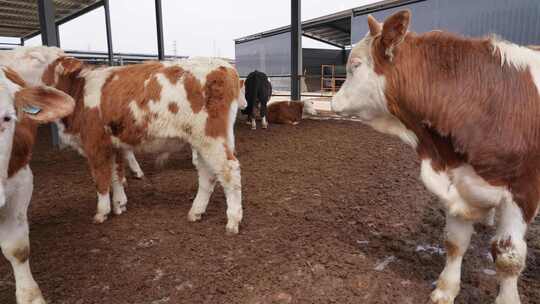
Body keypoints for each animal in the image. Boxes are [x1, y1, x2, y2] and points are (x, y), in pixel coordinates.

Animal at [41, 55, 245, 234]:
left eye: (39, 61)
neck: (79, 91)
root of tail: (224, 66)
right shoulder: (114, 145)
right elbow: (116, 174)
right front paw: (120, 204)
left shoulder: (95, 144)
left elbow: (101, 179)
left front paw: (102, 212)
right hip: (204, 141)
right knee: (207, 174)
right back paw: (196, 212)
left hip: (210, 138)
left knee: (228, 170)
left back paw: (233, 221)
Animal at [334, 9, 540, 304]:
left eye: (356, 65)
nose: (334, 102)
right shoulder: (458, 179)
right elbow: (455, 242)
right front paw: (445, 289)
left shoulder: (523, 191)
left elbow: (508, 256)